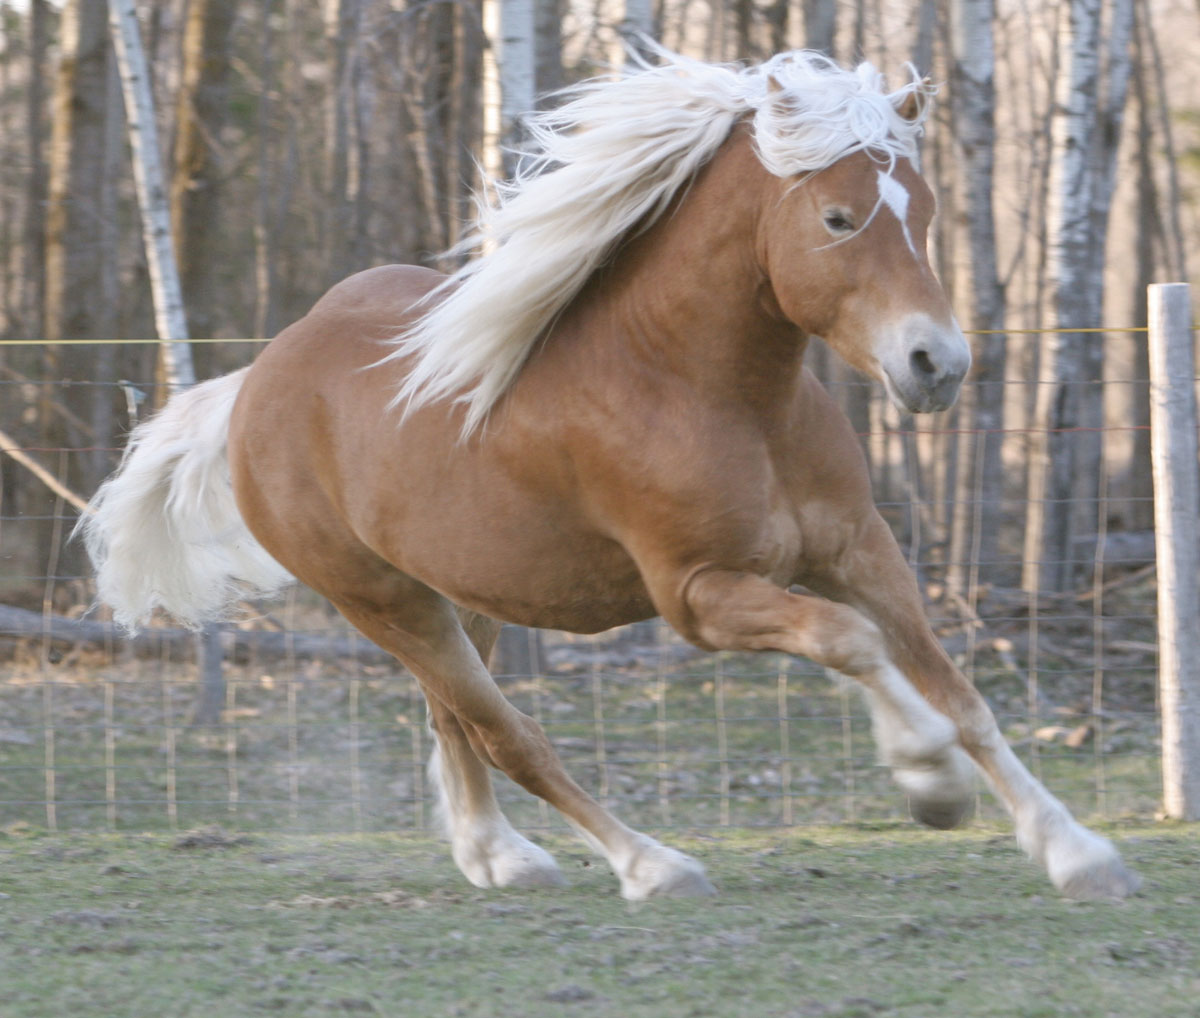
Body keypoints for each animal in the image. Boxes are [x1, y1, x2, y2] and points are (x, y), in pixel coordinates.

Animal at [79, 47, 1137, 897]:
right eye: (839, 217)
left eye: (922, 212)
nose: (936, 365)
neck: (711, 393)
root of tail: (257, 381)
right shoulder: (699, 595)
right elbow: (852, 645)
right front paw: (929, 782)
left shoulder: (859, 550)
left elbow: (961, 695)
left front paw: (1077, 853)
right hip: (384, 604)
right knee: (508, 733)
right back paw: (649, 865)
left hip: (461, 599)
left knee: (454, 722)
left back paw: (497, 857)